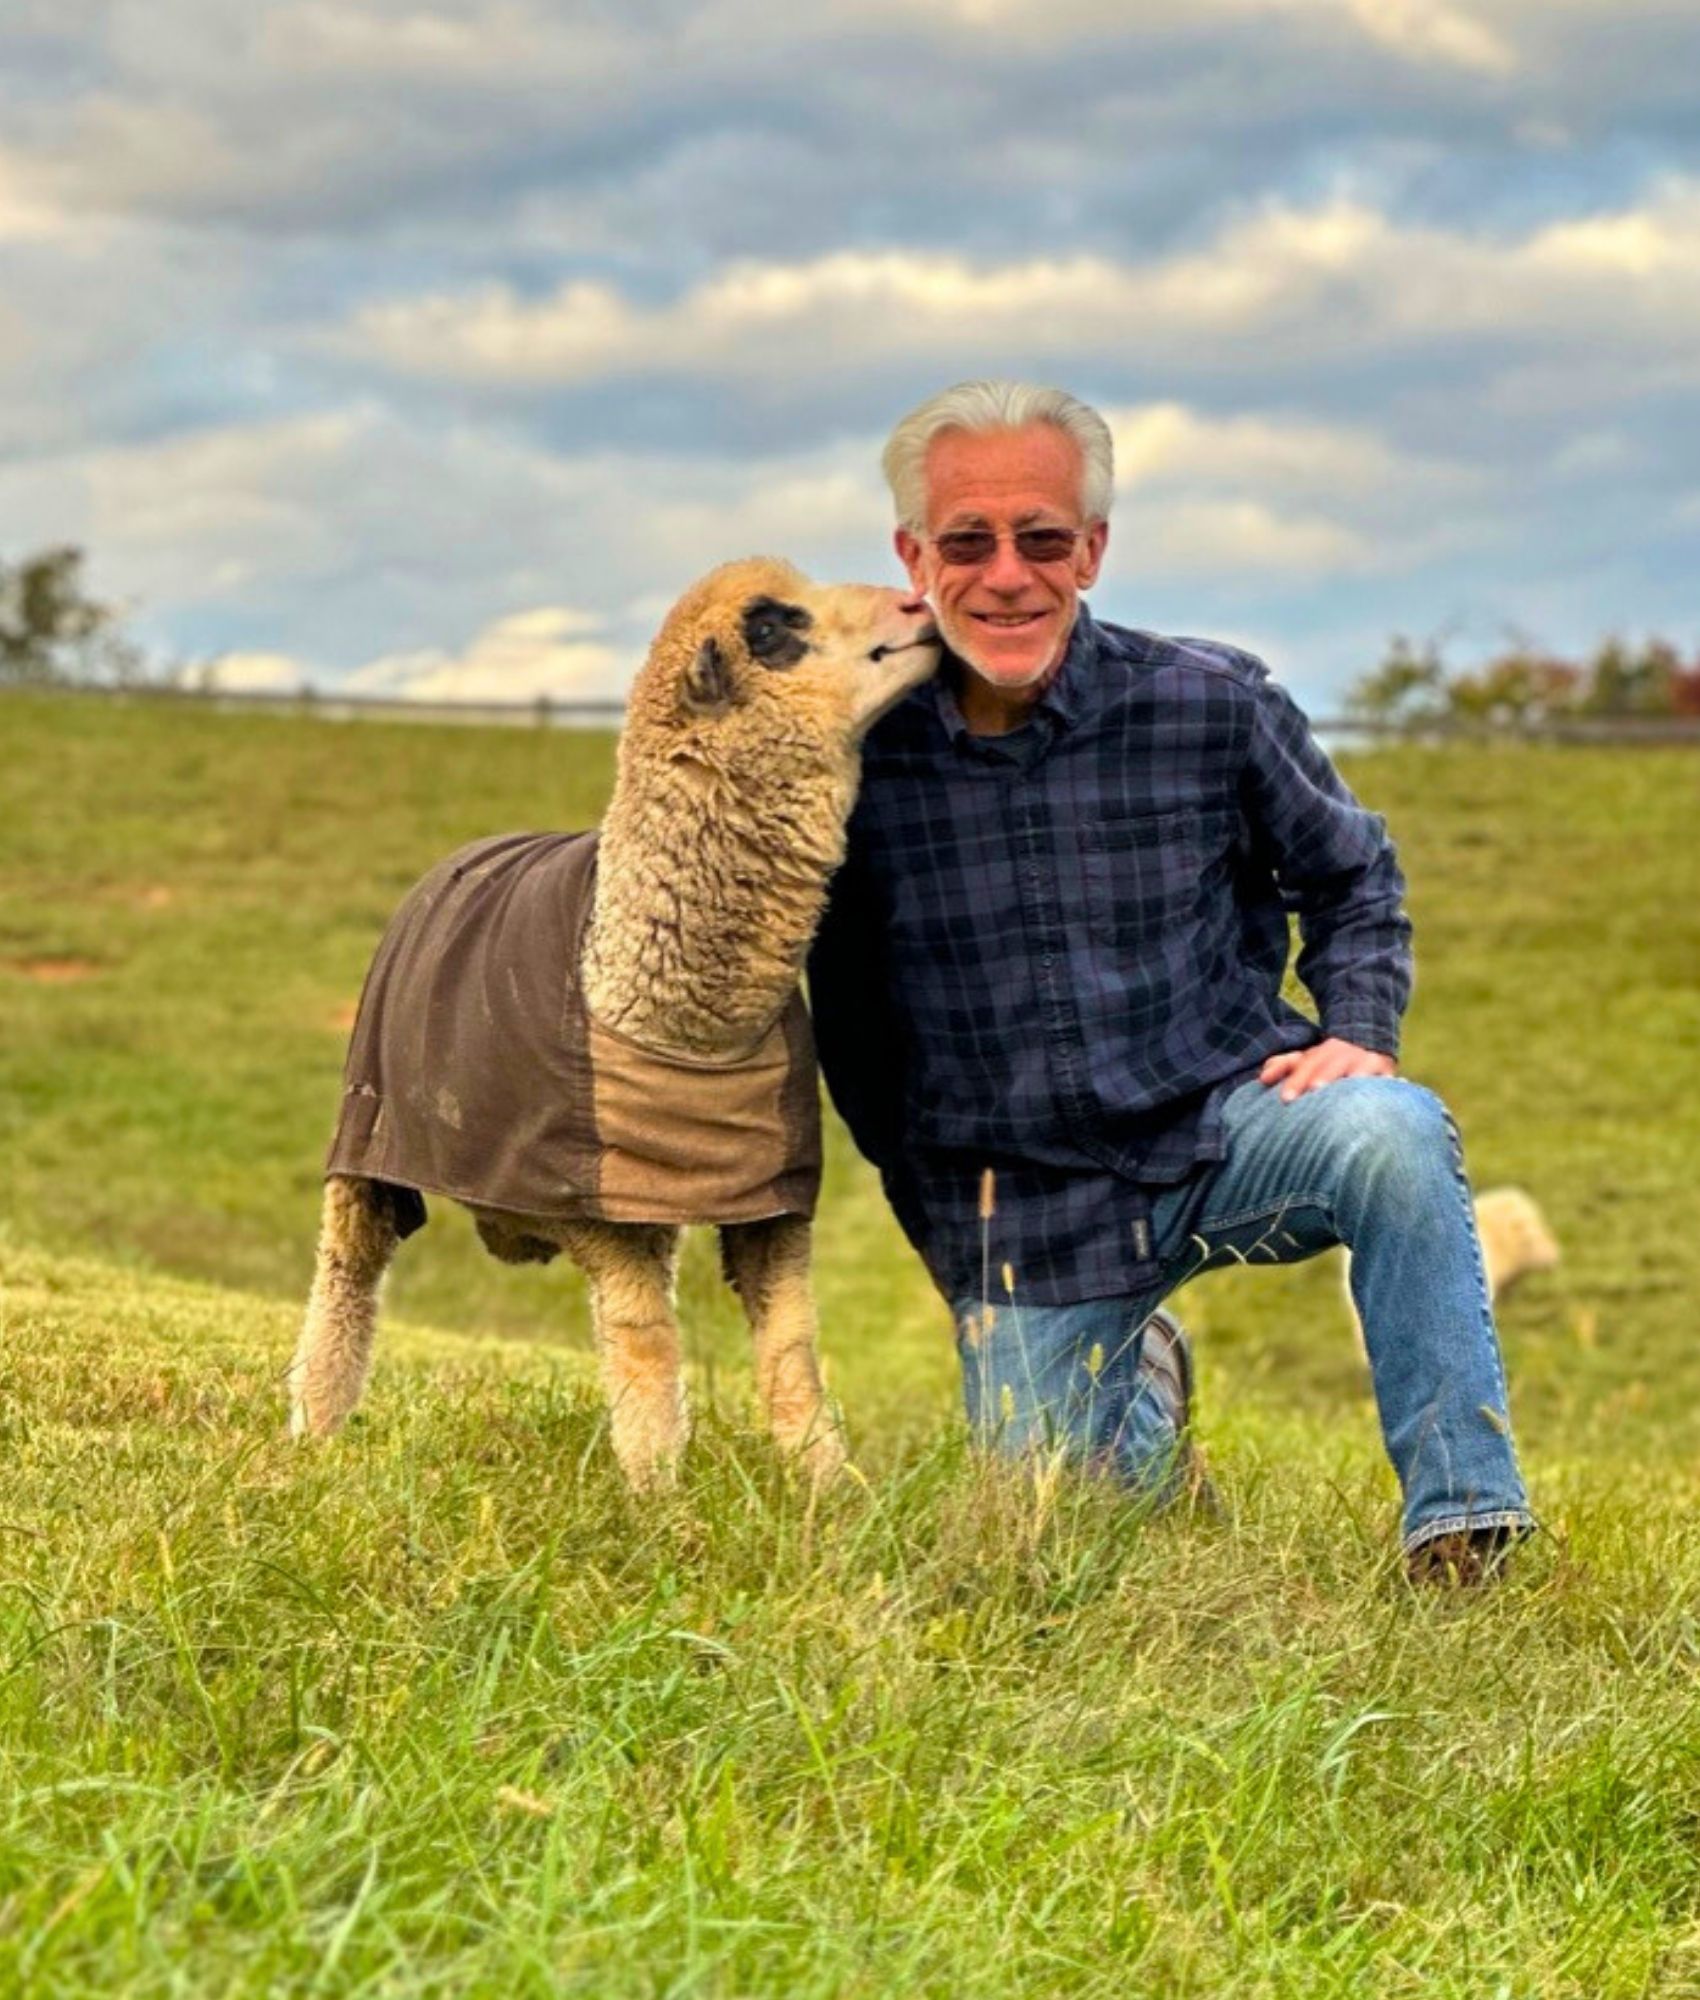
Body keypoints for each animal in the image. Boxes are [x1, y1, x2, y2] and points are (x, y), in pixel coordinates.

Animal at [289, 557, 939, 1489]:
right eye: (772, 628)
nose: (919, 606)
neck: (682, 1024)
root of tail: (465, 854)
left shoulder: (766, 1202)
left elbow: (790, 1347)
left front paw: (828, 1485)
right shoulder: (604, 1214)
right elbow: (646, 1344)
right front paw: (659, 1495)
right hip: (366, 1142)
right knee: (345, 1277)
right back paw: (314, 1431)